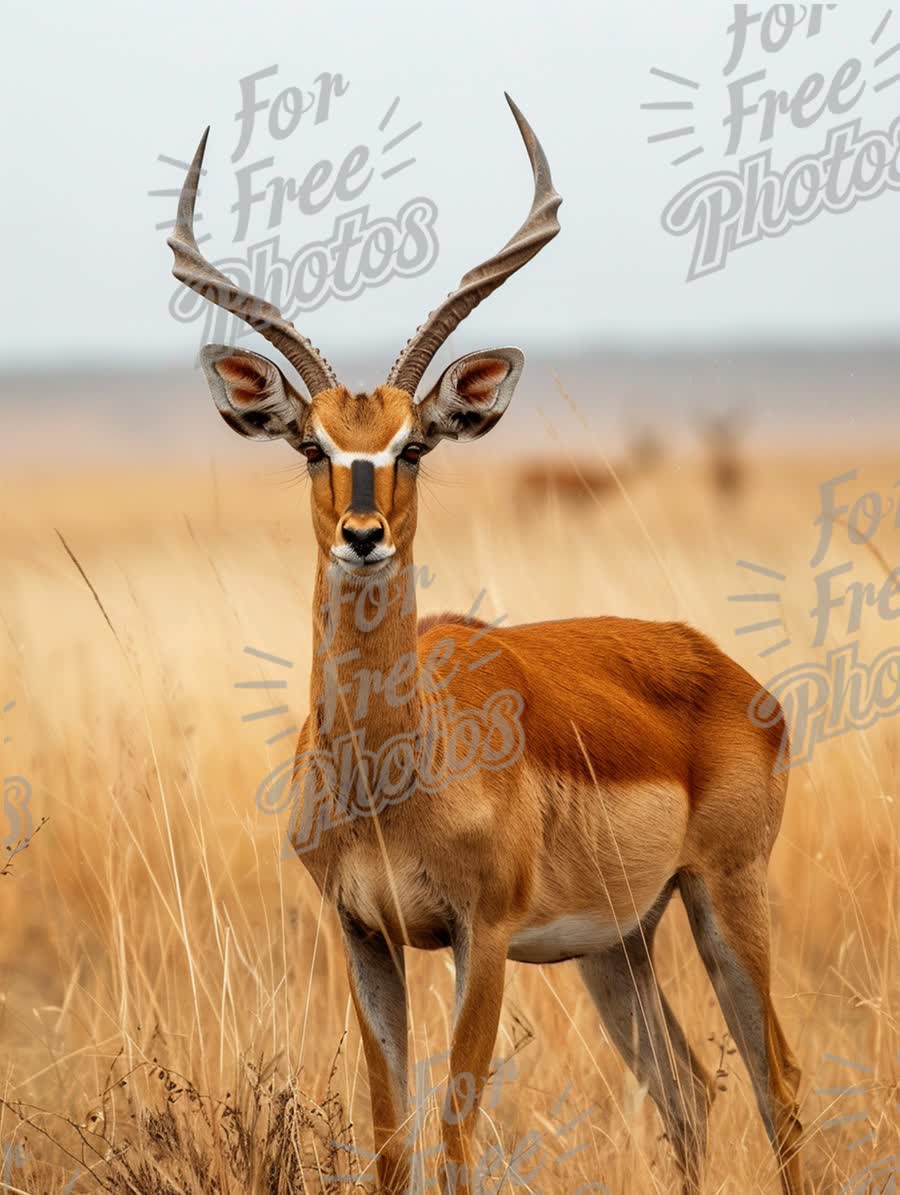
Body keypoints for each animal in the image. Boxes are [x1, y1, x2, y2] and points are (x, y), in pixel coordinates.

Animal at [167, 95, 798, 1195]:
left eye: (416, 444)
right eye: (313, 445)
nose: (363, 534)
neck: (391, 775)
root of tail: (733, 674)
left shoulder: (483, 934)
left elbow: (457, 1135)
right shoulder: (365, 935)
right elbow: (391, 1136)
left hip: (724, 894)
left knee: (780, 1085)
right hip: (619, 942)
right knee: (689, 1088)